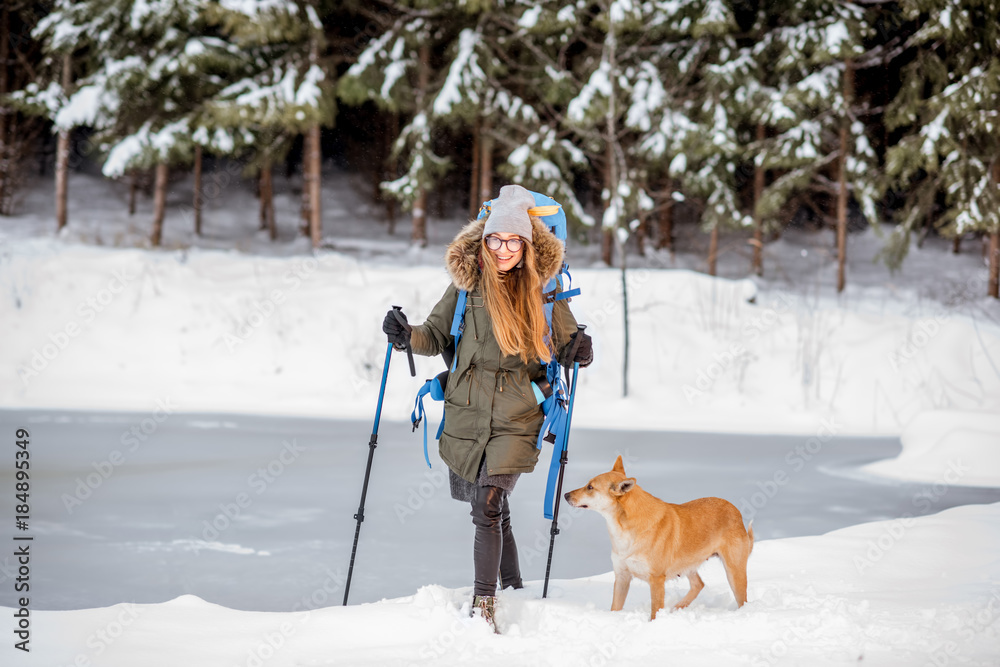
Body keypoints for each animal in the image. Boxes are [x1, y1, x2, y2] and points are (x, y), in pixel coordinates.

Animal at [568, 454, 752, 620]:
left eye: (590, 487)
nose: (565, 495)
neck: (624, 529)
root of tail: (735, 510)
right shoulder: (622, 577)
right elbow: (615, 608)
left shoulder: (656, 580)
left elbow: (655, 611)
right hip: (688, 563)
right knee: (698, 584)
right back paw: (677, 608)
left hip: (734, 572)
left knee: (742, 601)